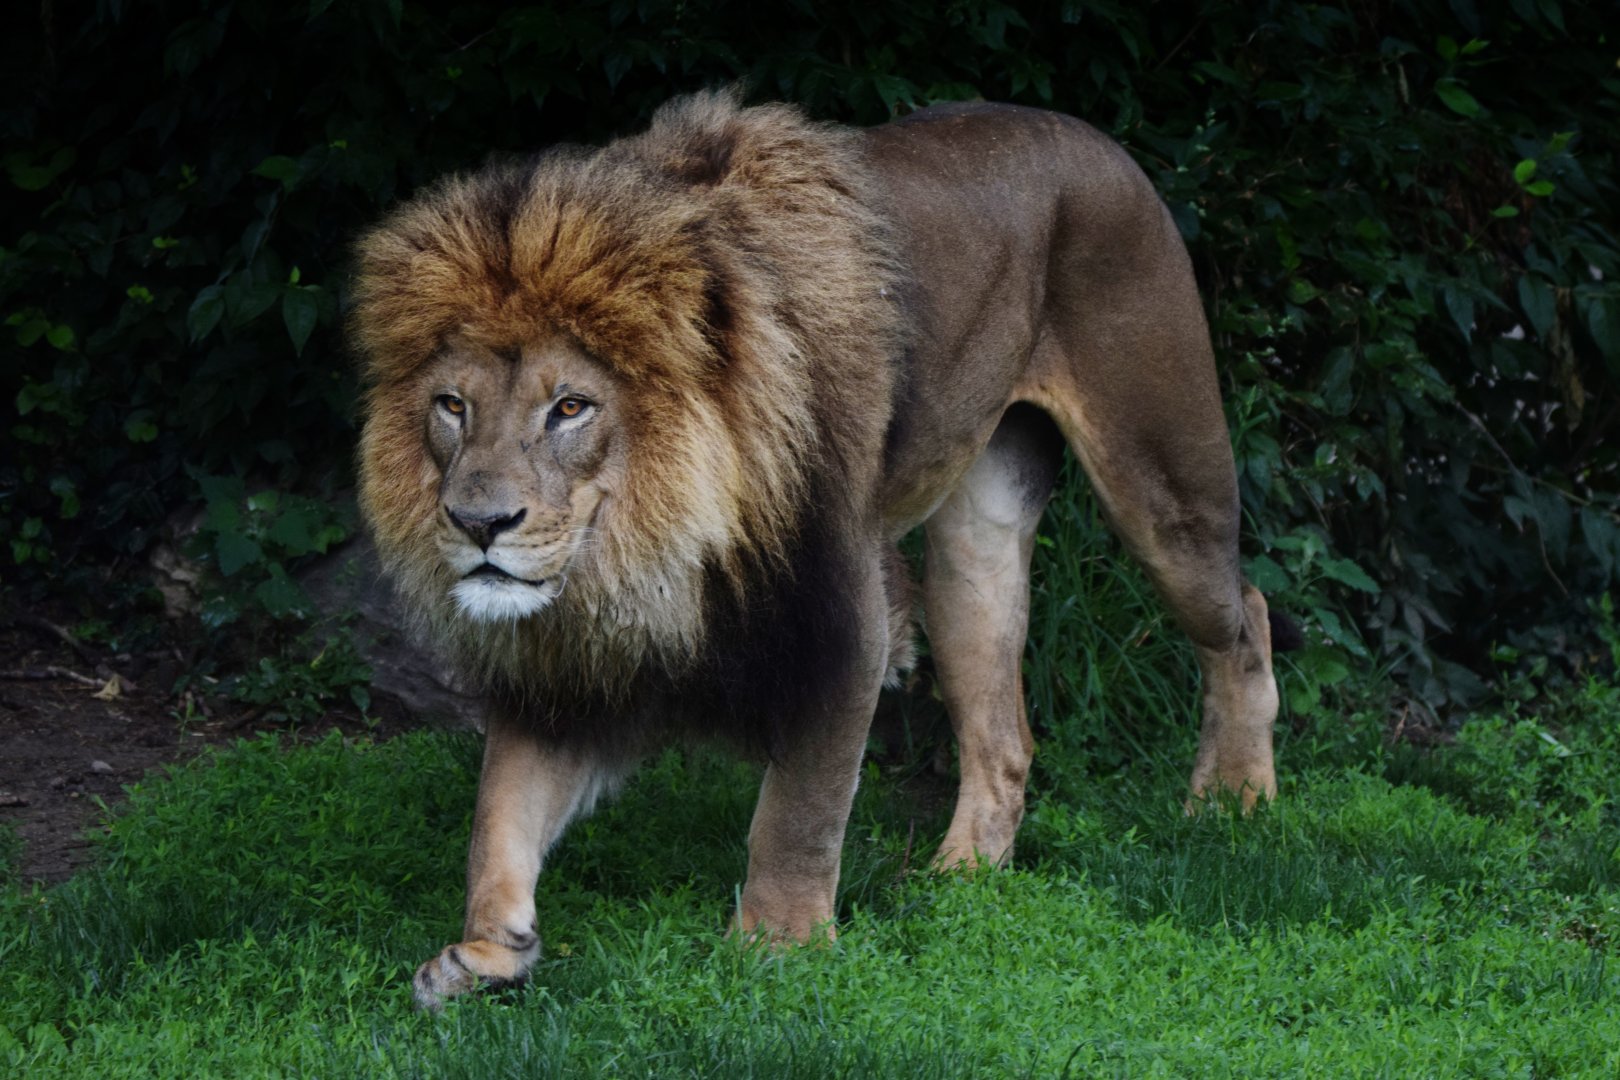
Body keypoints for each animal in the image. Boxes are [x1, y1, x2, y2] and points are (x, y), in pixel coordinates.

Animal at [352, 89, 1282, 1010]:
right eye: (452, 406)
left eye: (571, 408)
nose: (478, 523)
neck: (648, 546)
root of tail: (1094, 138)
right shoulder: (570, 661)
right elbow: (500, 808)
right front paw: (484, 955)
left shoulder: (843, 621)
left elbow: (799, 809)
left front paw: (777, 948)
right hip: (974, 547)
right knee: (1005, 734)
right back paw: (959, 880)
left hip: (1162, 480)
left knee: (1245, 613)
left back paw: (1234, 800)